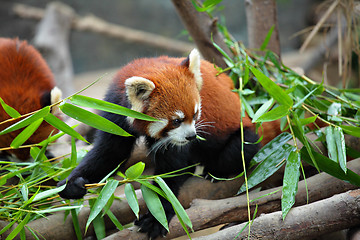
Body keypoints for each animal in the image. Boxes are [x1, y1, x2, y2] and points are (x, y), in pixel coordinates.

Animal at [57, 48, 282, 238]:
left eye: (196, 114)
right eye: (176, 120)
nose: (192, 136)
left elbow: (171, 171)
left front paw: (157, 216)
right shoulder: (115, 112)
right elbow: (110, 152)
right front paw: (72, 184)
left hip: (245, 132)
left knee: (238, 150)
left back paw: (214, 172)